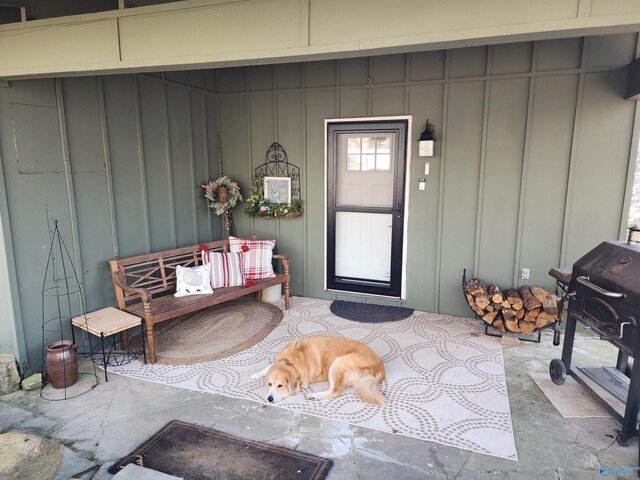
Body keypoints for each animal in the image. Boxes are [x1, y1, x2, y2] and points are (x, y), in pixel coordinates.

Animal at [251, 338, 384, 404]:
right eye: (269, 384)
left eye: (280, 386)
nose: (269, 399)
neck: (290, 361)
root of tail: (379, 367)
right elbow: (269, 366)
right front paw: (256, 374)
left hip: (338, 363)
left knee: (334, 391)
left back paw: (315, 395)